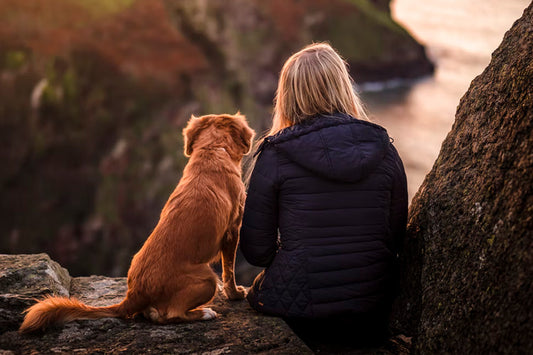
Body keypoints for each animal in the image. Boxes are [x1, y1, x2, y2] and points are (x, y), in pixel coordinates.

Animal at [18, 112, 254, 332]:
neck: (212, 150)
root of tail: (134, 294)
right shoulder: (233, 230)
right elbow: (229, 270)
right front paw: (235, 294)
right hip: (207, 278)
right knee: (171, 315)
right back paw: (204, 313)